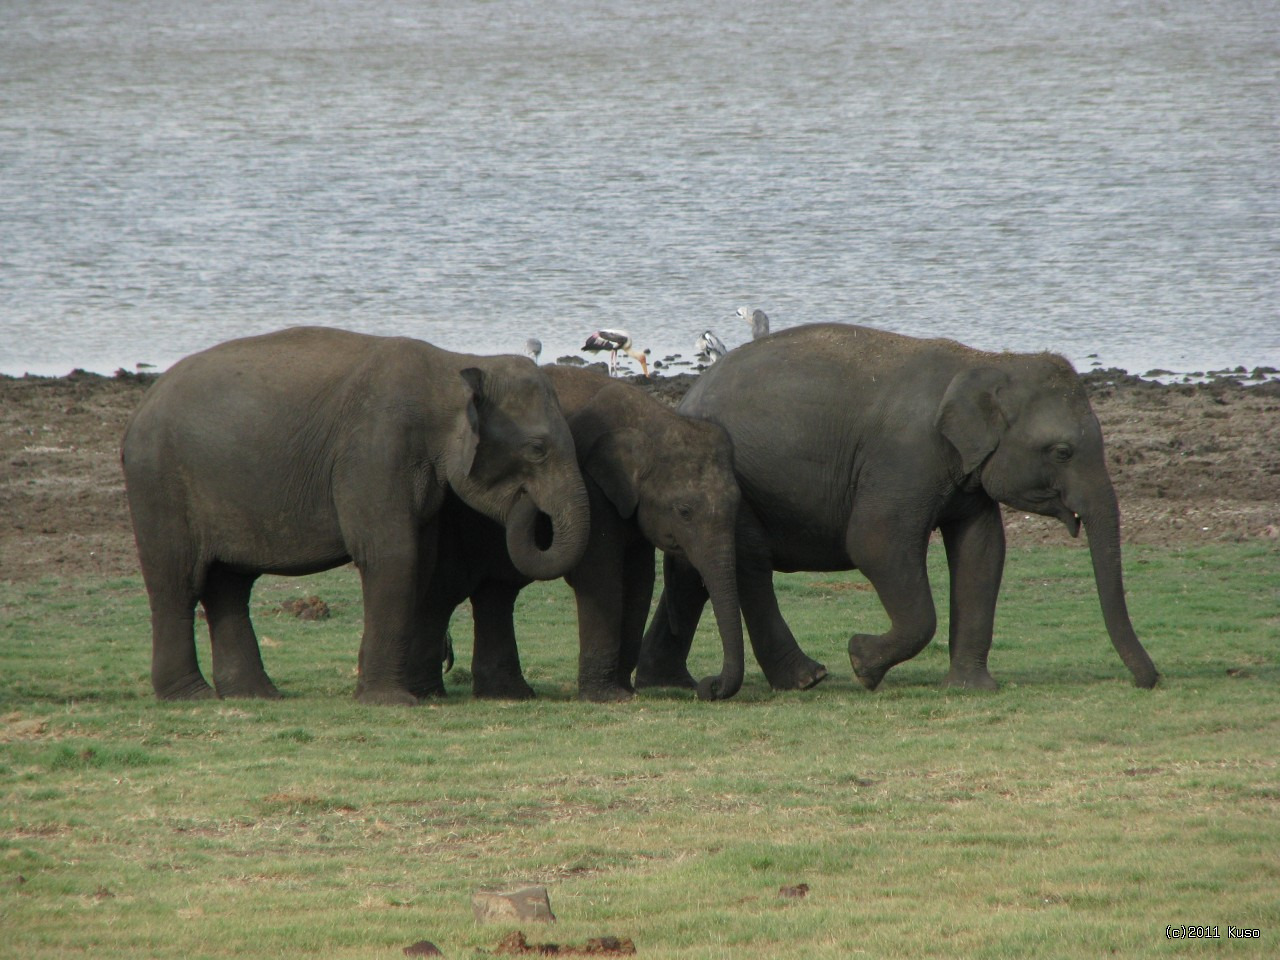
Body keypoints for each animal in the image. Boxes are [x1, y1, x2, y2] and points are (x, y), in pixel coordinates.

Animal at [122, 330, 591, 706]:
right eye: (537, 450)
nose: (528, 504)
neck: (451, 365)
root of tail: (140, 410)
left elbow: (421, 560)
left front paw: (382, 690)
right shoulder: (375, 450)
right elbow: (393, 556)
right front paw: (391, 701)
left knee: (229, 585)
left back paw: (256, 695)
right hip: (159, 485)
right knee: (177, 582)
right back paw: (191, 696)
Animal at [409, 363, 747, 701]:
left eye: (737, 506)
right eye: (684, 511)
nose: (709, 686)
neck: (653, 417)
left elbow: (639, 581)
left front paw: (625, 690)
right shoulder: (592, 490)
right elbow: (601, 577)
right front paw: (609, 697)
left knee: (495, 591)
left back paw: (507, 694)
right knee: (444, 589)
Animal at [640, 323, 1162, 691]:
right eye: (1062, 452)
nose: (1149, 680)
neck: (983, 361)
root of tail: (686, 400)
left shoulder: (965, 476)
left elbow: (983, 551)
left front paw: (971, 688)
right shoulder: (906, 457)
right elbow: (875, 543)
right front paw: (861, 661)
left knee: (695, 573)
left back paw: (666, 682)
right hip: (741, 488)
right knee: (749, 568)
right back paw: (808, 679)